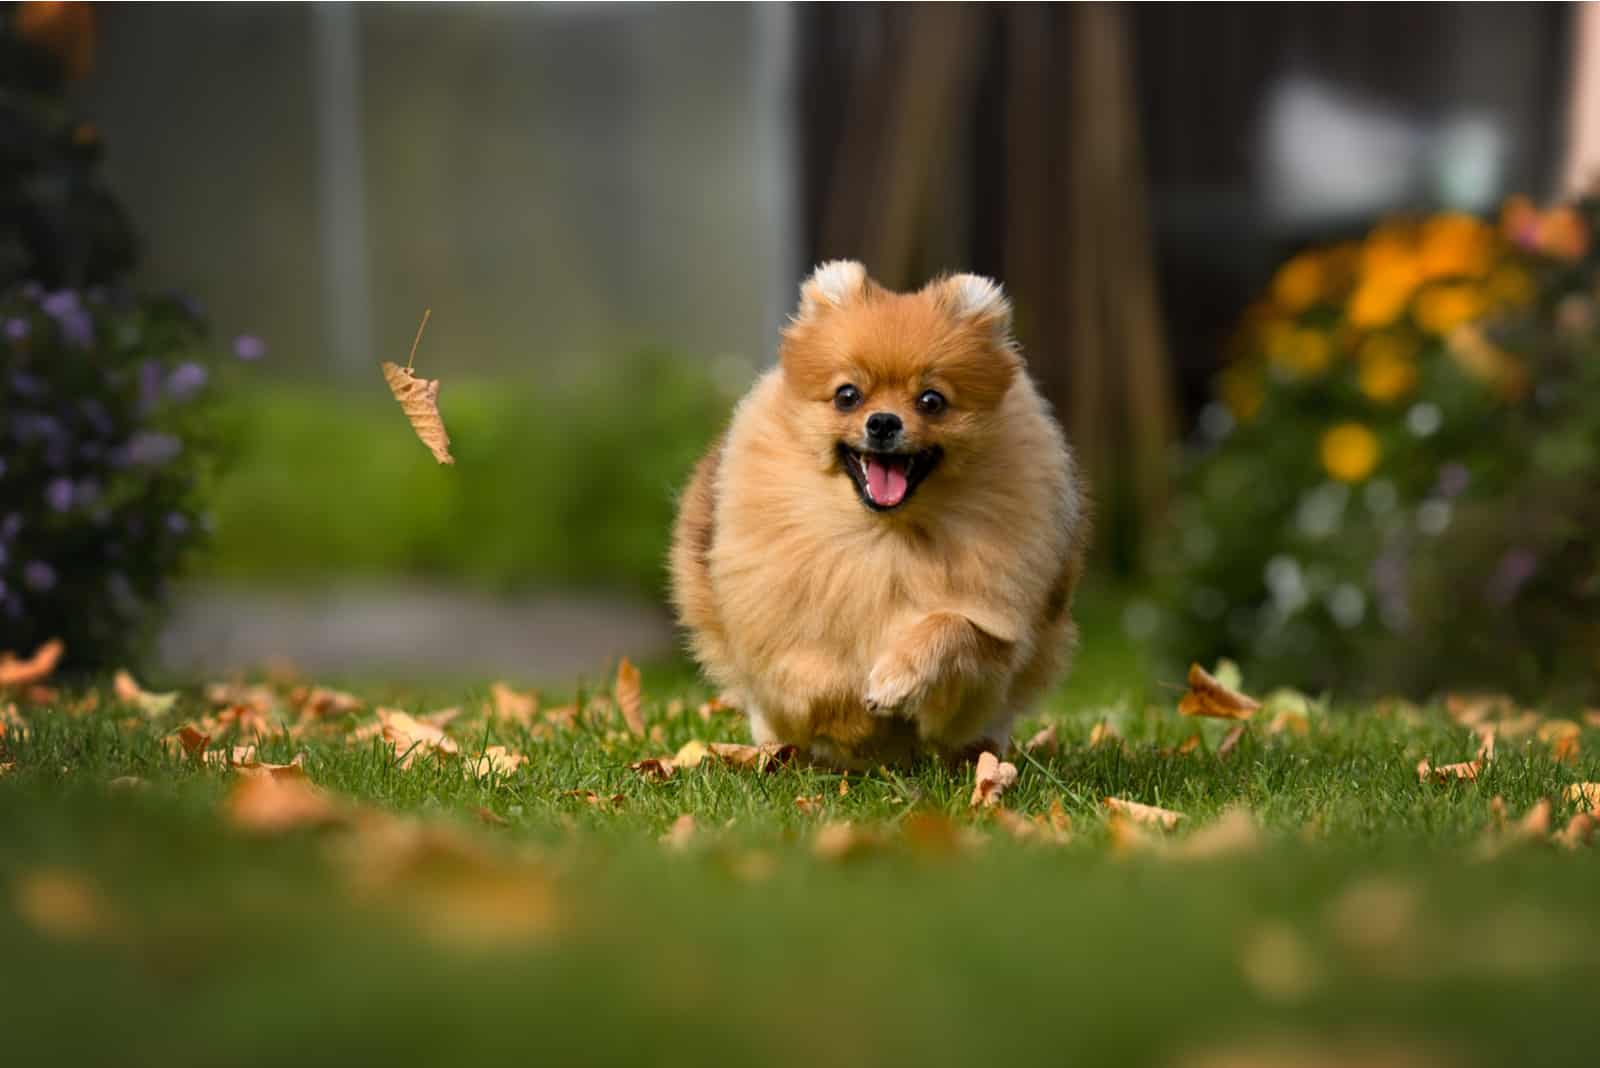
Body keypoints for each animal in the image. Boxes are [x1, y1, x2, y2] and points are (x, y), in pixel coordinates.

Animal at [662, 259, 1088, 764]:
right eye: (848, 396)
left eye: (931, 400)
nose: (883, 422)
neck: (883, 536)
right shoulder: (781, 648)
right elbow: (817, 680)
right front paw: (858, 718)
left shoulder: (996, 645)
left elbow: (954, 626)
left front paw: (896, 680)